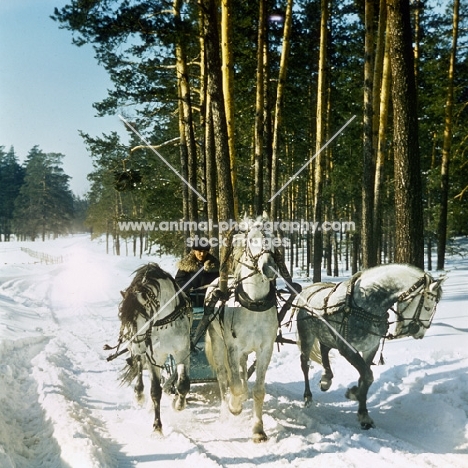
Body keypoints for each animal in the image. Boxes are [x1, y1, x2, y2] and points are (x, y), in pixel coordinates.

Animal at [117, 266, 194, 434]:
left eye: (142, 317)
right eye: (122, 317)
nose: (134, 346)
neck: (164, 319)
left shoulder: (182, 351)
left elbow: (183, 384)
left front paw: (178, 404)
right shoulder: (154, 356)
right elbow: (155, 391)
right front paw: (157, 428)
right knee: (140, 366)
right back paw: (139, 394)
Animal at [204, 219, 278, 442]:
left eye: (274, 239)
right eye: (252, 239)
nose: (270, 267)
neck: (254, 304)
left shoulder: (265, 349)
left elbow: (258, 391)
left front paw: (258, 430)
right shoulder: (232, 348)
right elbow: (234, 386)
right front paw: (234, 407)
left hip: (245, 352)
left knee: (243, 371)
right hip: (218, 344)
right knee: (223, 378)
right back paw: (224, 412)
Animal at [294, 264, 444, 428]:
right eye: (428, 307)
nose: (420, 333)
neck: (365, 306)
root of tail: (307, 290)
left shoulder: (371, 348)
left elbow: (364, 378)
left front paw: (358, 400)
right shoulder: (347, 349)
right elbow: (367, 375)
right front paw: (360, 405)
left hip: (326, 333)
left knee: (324, 349)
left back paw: (326, 379)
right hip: (307, 335)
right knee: (304, 363)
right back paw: (308, 396)